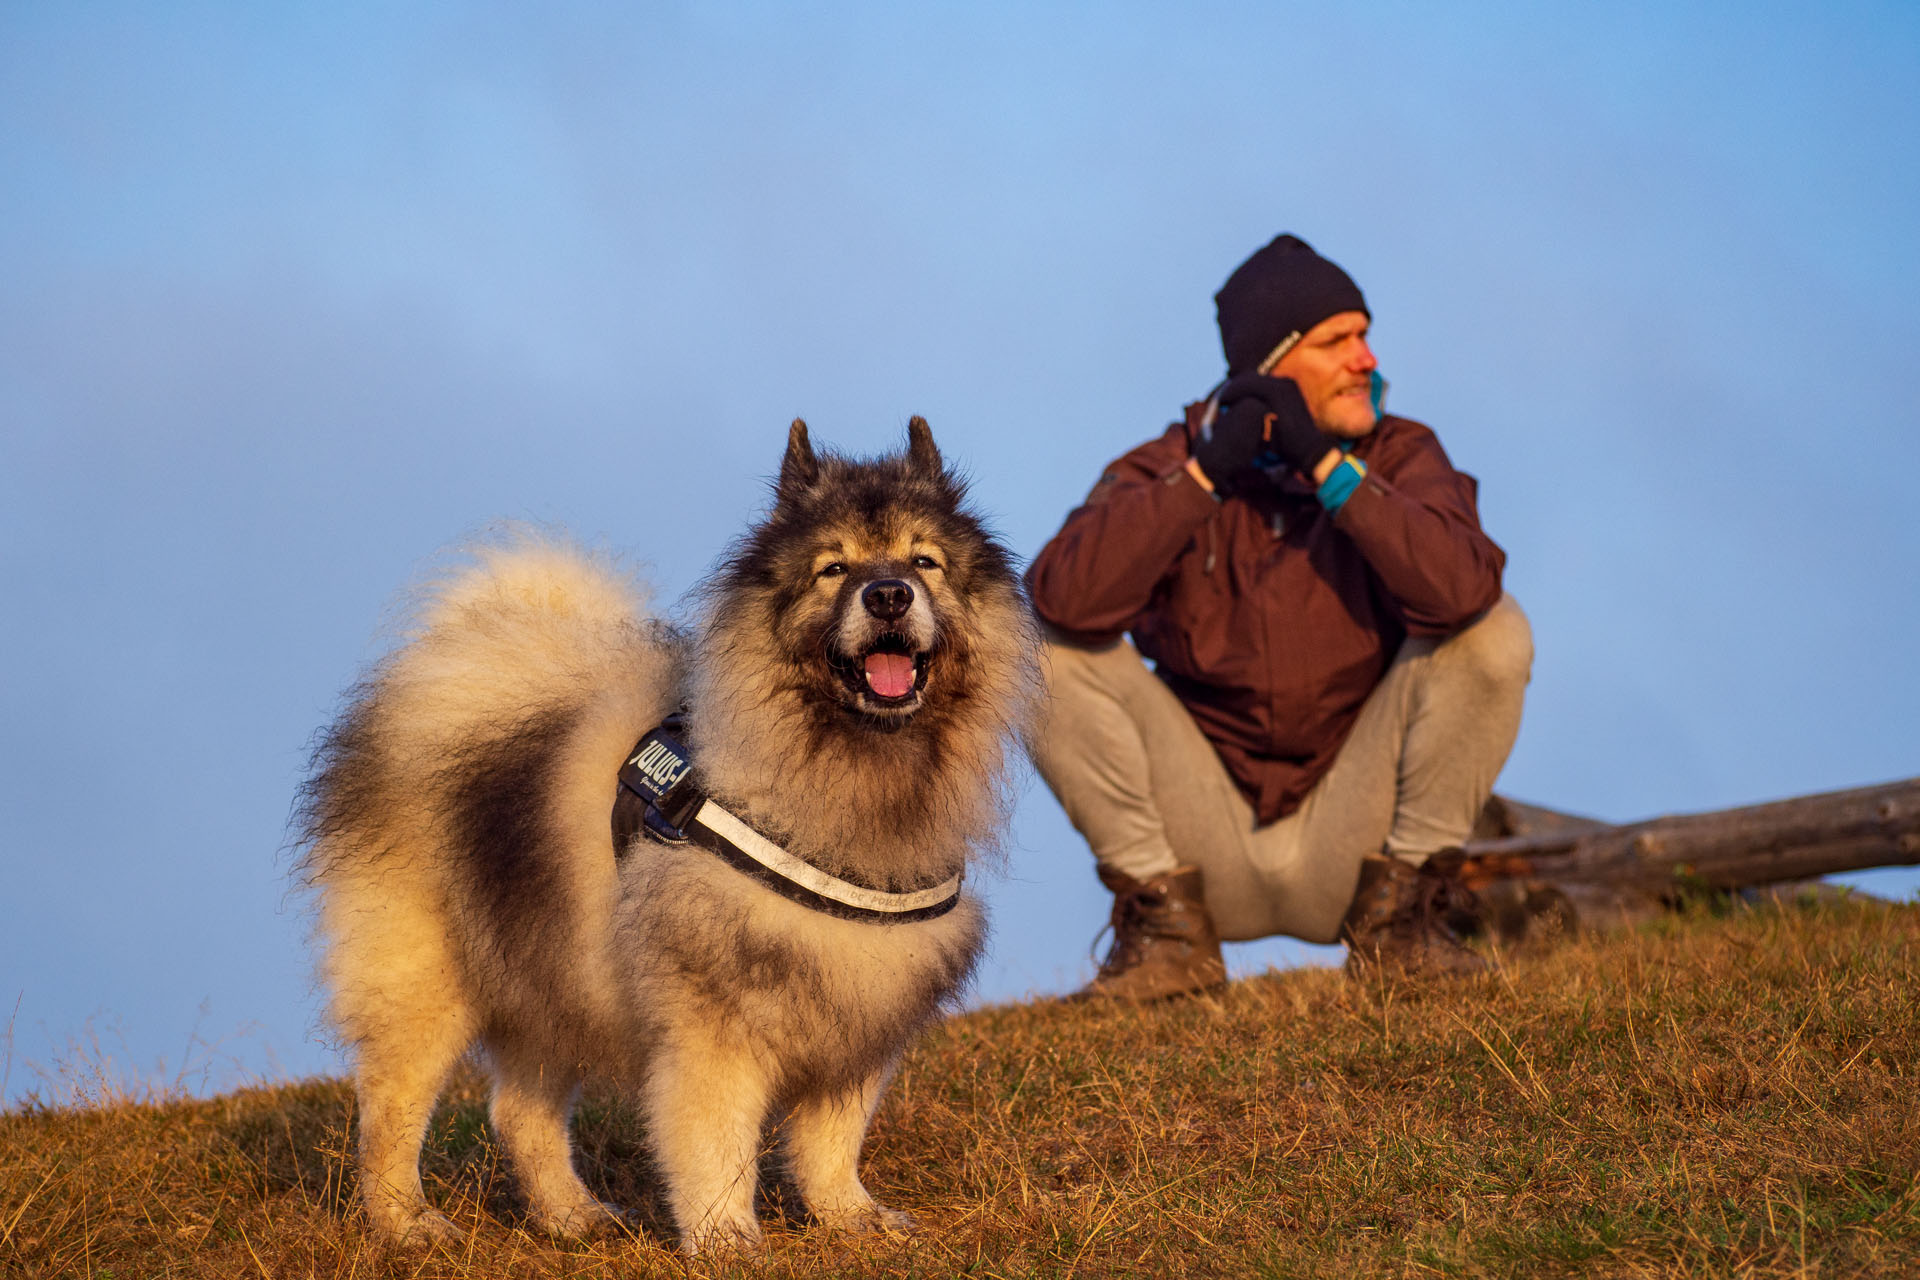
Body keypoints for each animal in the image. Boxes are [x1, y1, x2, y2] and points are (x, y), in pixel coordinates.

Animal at [293, 420, 1036, 1251]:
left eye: (922, 562)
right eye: (833, 569)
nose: (887, 595)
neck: (847, 781)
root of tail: (457, 664)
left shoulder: (858, 1008)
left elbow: (831, 1140)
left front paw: (852, 1217)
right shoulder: (715, 1029)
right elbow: (717, 1144)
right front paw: (727, 1239)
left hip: (552, 965)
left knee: (520, 1112)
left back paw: (571, 1215)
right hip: (426, 980)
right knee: (390, 1112)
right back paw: (408, 1224)